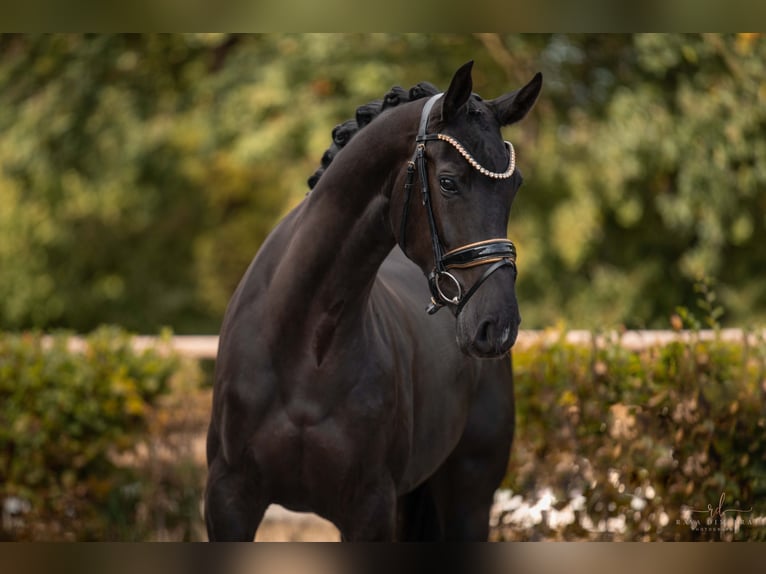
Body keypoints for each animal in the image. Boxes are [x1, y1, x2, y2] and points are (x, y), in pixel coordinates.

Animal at [204, 63, 540, 544]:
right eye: (448, 182)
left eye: (514, 186)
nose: (498, 325)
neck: (304, 348)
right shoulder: (229, 501)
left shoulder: (368, 509)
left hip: (469, 500)